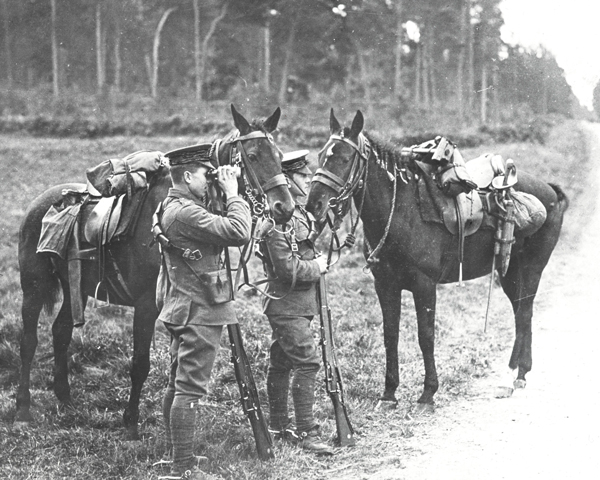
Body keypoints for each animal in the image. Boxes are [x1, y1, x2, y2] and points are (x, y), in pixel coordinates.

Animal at [15, 105, 294, 438]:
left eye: (278, 154)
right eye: (252, 155)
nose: (285, 208)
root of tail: (39, 204)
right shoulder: (146, 304)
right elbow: (140, 363)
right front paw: (131, 421)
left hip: (75, 288)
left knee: (61, 331)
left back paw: (65, 397)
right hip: (33, 288)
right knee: (29, 341)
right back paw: (23, 409)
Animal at [308, 109, 568, 412]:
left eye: (344, 158)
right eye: (320, 155)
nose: (314, 205)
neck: (403, 211)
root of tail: (549, 190)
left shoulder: (424, 285)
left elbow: (426, 336)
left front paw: (428, 393)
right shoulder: (384, 284)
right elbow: (390, 335)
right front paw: (389, 393)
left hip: (530, 269)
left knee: (525, 312)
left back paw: (518, 374)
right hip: (508, 273)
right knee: (520, 312)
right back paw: (516, 370)